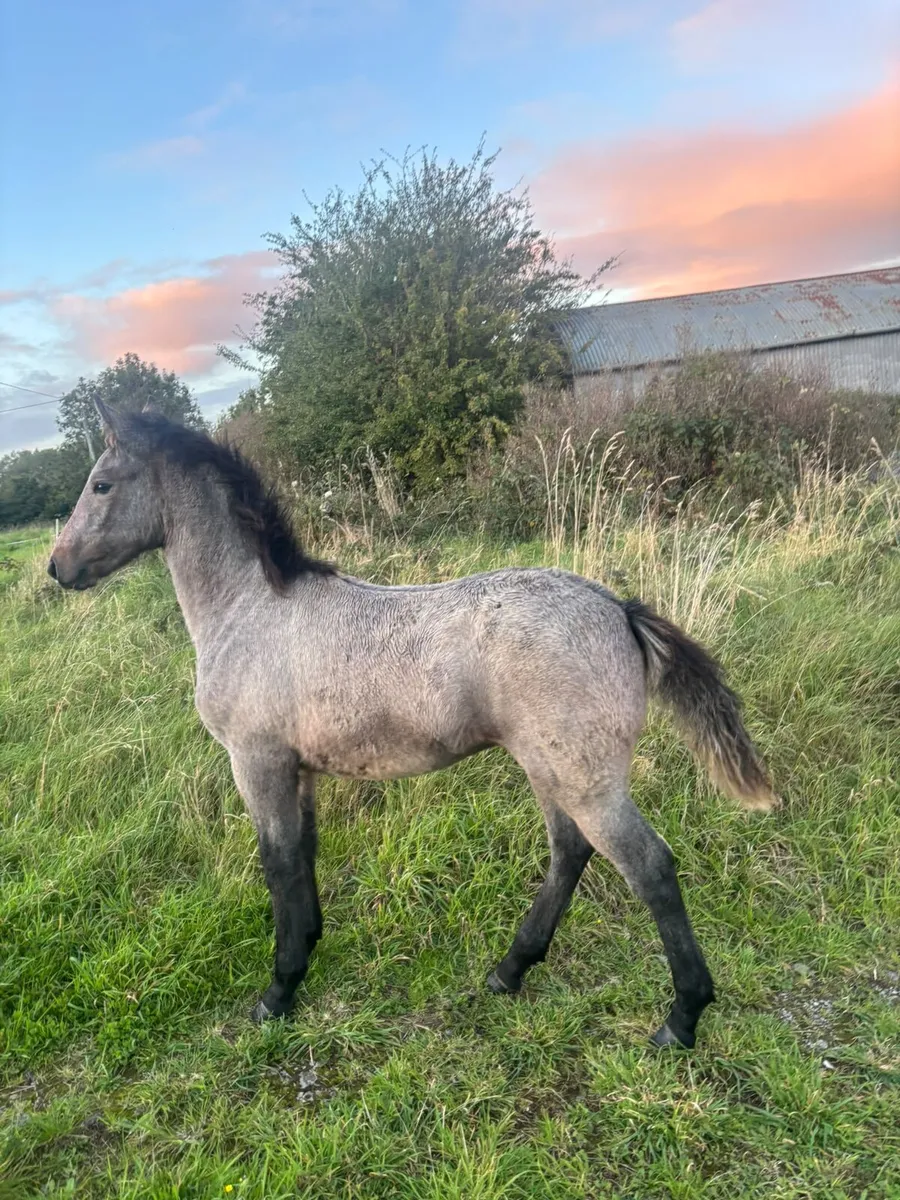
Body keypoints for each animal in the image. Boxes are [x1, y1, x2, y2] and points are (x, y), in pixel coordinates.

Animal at [48, 401, 778, 1049]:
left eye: (101, 483)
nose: (58, 567)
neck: (250, 609)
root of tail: (619, 610)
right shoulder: (299, 769)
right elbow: (304, 858)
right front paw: (306, 953)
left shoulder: (257, 761)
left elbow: (278, 865)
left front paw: (277, 993)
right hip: (550, 766)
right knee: (570, 852)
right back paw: (508, 971)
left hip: (584, 777)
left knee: (648, 865)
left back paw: (681, 1019)